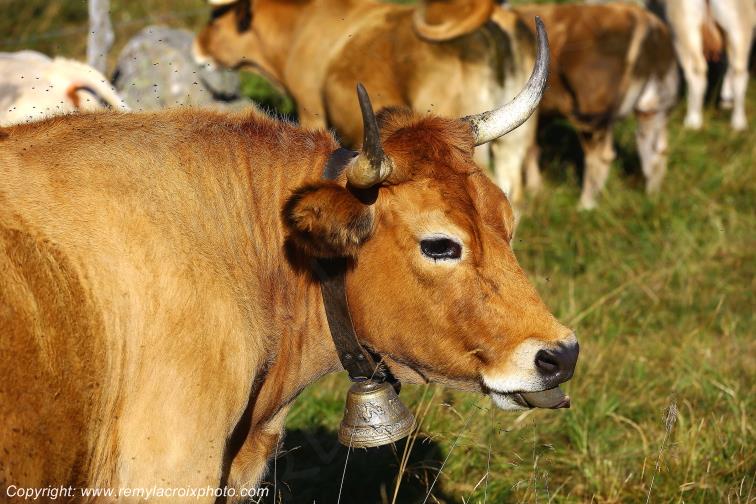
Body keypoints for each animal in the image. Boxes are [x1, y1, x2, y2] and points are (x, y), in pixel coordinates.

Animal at [510, 3, 679, 210]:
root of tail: (644, 18)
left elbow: (527, 147)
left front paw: (534, 189)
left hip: (592, 111)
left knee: (601, 156)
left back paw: (585, 205)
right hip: (655, 106)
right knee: (655, 151)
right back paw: (652, 198)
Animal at [649, 0, 754, 130]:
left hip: (684, 23)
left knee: (698, 71)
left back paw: (694, 121)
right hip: (738, 24)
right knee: (737, 69)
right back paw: (737, 122)